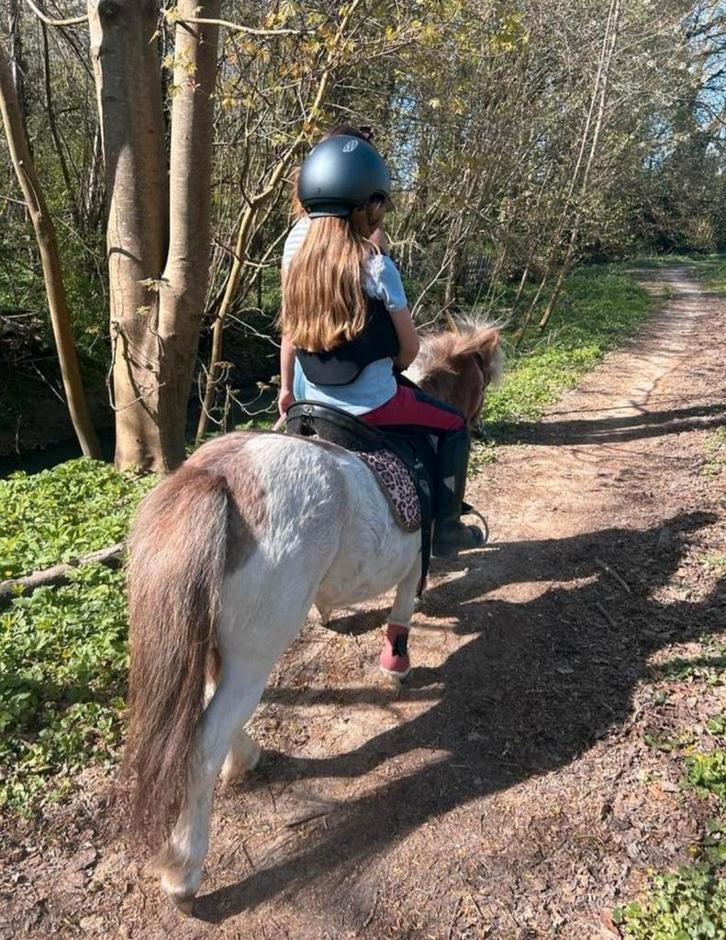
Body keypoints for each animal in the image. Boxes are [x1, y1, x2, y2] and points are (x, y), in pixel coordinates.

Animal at [122, 320, 502, 911]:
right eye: (483, 378)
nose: (481, 424)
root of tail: (218, 477)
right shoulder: (412, 565)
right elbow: (403, 609)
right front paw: (398, 662)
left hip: (214, 641)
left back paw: (245, 758)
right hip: (255, 652)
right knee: (201, 743)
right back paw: (184, 868)